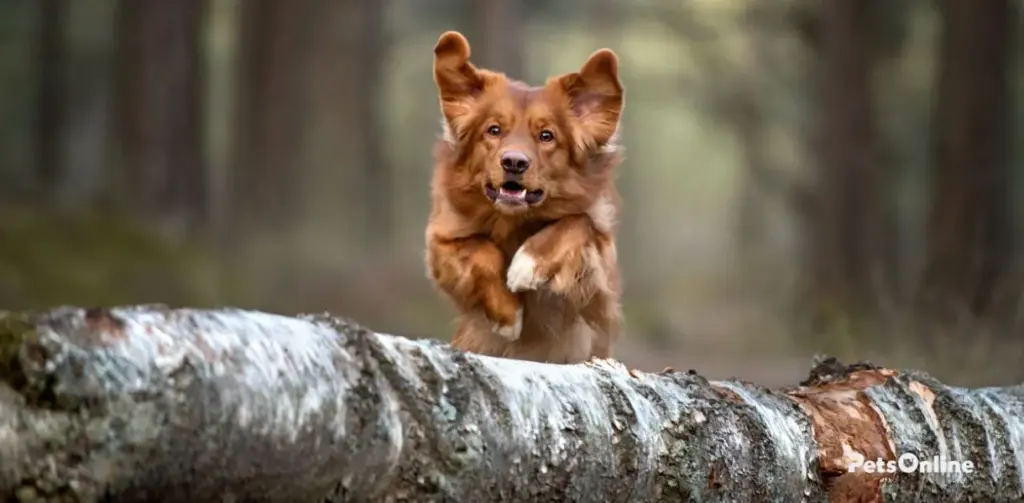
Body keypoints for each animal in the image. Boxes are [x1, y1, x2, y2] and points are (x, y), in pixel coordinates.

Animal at [421, 30, 622, 362]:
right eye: (493, 130)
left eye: (546, 136)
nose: (514, 162)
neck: (514, 221)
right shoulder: (441, 242)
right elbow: (481, 251)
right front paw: (509, 315)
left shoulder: (598, 276)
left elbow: (577, 222)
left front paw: (528, 263)